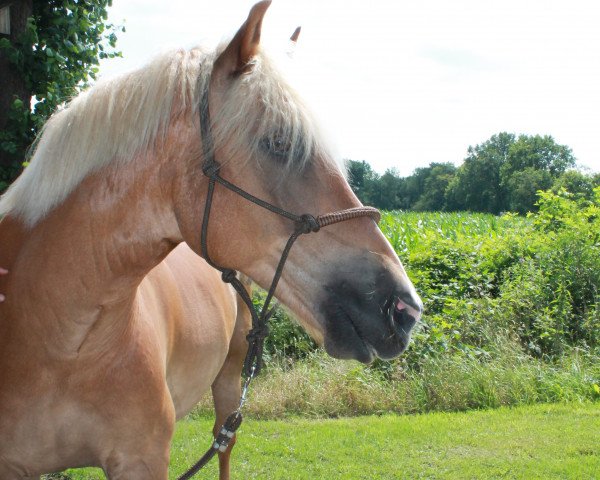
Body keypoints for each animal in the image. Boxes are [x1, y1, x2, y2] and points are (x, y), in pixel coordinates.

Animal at [0, 1, 422, 478]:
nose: (405, 308)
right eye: (278, 142)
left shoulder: (142, 460)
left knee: (224, 442)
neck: (62, 337)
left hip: (230, 380)